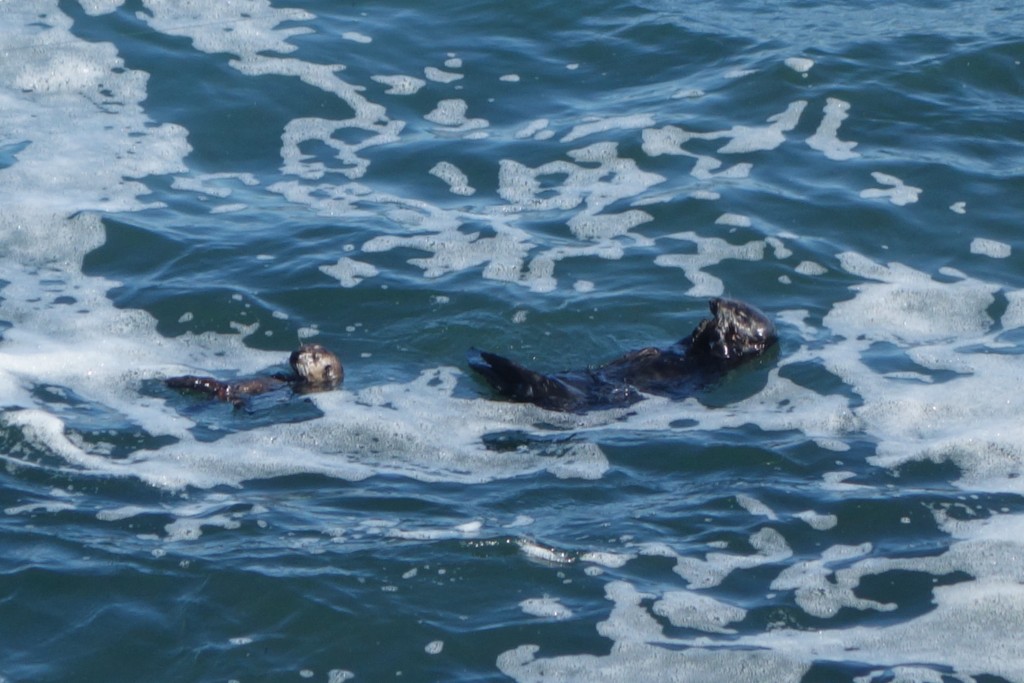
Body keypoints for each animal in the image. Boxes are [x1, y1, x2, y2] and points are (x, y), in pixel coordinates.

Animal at [468, 298, 777, 412]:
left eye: (737, 313)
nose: (713, 302)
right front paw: (701, 327)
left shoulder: (722, 360)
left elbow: (722, 348)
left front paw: (719, 330)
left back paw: (486, 361)